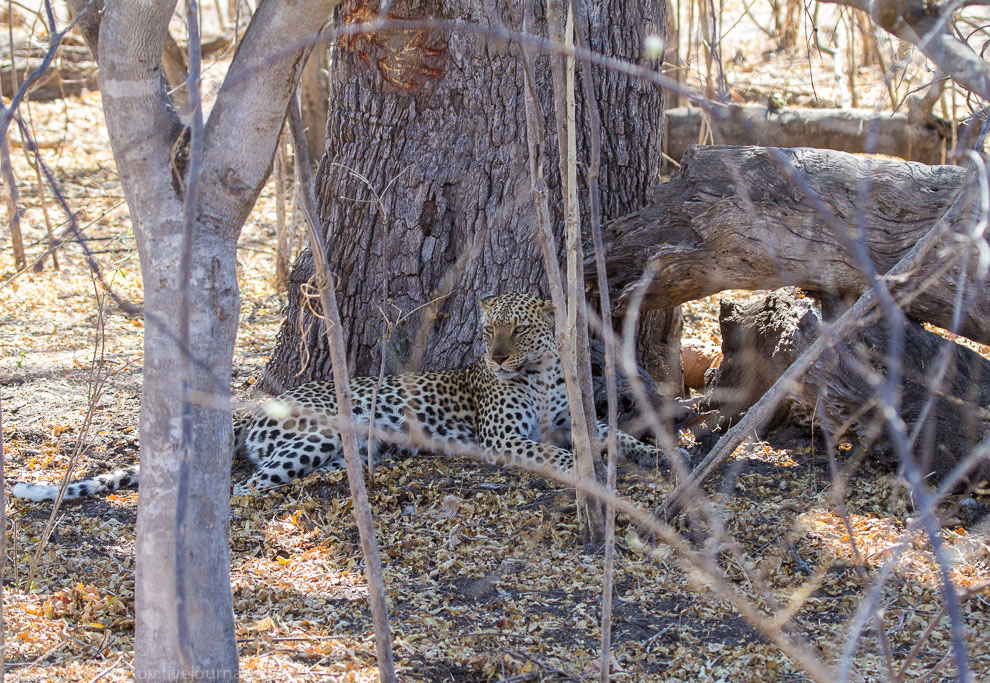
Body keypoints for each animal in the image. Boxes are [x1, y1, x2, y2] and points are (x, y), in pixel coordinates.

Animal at [9, 288, 668, 502]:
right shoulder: (508, 439)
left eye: (520, 331)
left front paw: (659, 453)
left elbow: (610, 434)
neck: (544, 372)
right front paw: (599, 470)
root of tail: (254, 409)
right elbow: (558, 453)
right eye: (490, 332)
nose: (497, 357)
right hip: (321, 431)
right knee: (247, 486)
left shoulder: (571, 420)